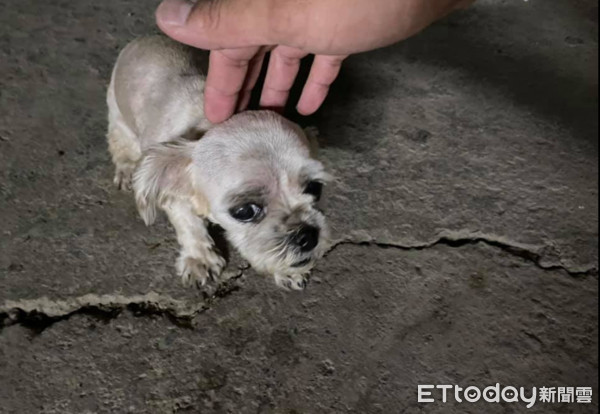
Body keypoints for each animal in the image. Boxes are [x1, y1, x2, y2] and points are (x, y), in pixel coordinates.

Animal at [108, 37, 332, 292]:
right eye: (245, 211)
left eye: (315, 188)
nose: (307, 236)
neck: (204, 127)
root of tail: (144, 39)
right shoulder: (174, 196)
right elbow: (189, 225)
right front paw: (199, 259)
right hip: (117, 116)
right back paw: (126, 168)